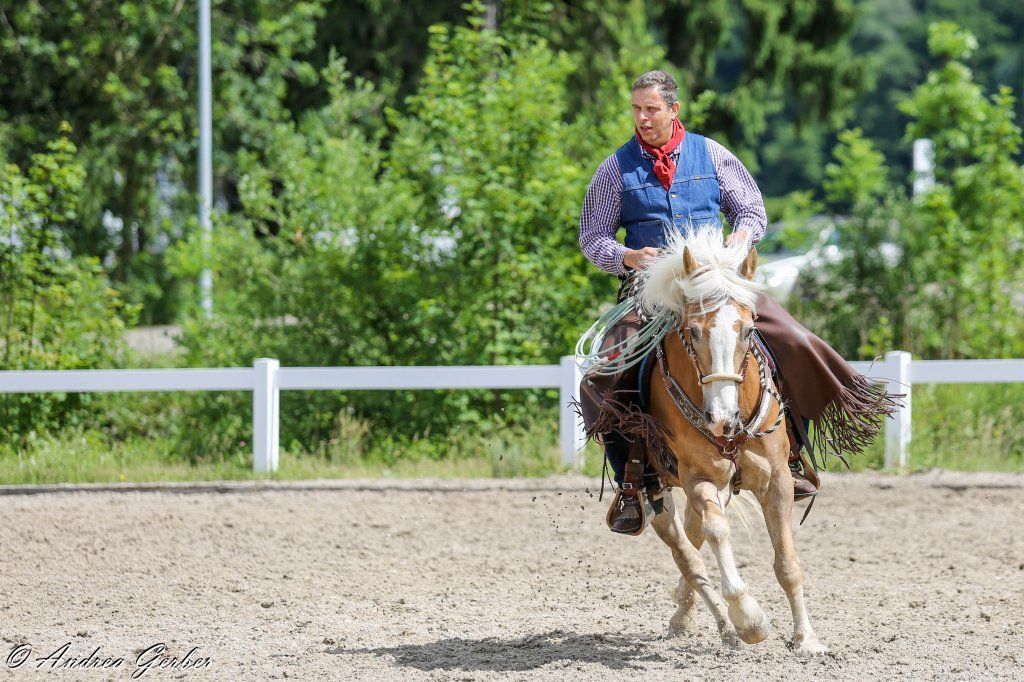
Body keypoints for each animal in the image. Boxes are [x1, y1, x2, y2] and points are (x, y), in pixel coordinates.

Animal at [635, 227, 828, 656]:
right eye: (692, 331)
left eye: (750, 329)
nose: (722, 418)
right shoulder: (699, 479)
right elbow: (717, 533)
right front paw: (749, 619)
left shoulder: (777, 481)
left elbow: (787, 564)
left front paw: (806, 638)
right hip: (656, 493)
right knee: (688, 554)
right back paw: (719, 625)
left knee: (693, 541)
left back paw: (689, 614)